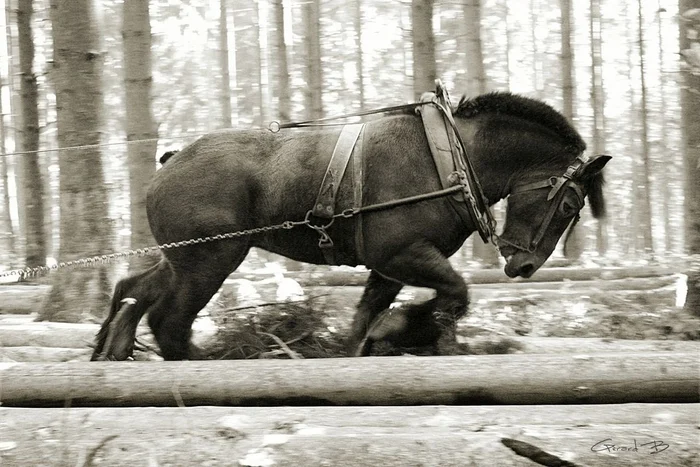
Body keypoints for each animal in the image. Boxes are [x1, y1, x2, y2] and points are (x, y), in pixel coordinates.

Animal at [91, 91, 608, 362]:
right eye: (570, 205)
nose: (524, 265)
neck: (450, 159)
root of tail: (170, 162)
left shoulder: (390, 266)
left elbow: (365, 320)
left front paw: (380, 339)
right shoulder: (402, 253)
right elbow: (457, 294)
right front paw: (406, 330)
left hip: (184, 258)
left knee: (134, 290)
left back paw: (112, 347)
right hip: (210, 261)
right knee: (169, 322)